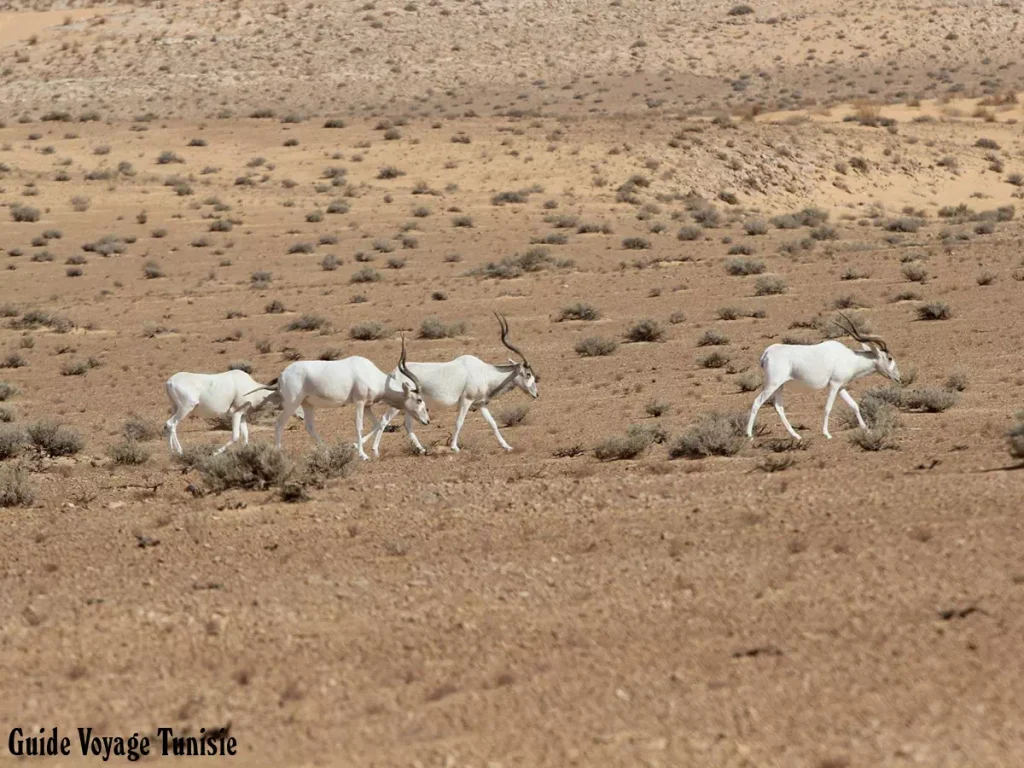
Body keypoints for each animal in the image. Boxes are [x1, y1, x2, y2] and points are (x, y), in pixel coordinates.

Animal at [165, 368, 301, 454]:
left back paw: (172, 452)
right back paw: (180, 452)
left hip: (175, 408)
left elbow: (245, 436)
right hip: (186, 408)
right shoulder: (236, 413)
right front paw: (215, 453)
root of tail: (169, 382)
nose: (302, 416)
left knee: (167, 424)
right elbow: (236, 436)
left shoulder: (243, 415)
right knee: (172, 424)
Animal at [249, 335, 430, 456]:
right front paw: (362, 454)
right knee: (279, 423)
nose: (427, 421)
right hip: (293, 403)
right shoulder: (359, 402)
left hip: (307, 404)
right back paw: (278, 452)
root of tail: (282, 375)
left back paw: (326, 450)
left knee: (309, 426)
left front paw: (360, 448)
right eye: (419, 399)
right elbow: (359, 426)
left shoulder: (368, 405)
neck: (370, 373)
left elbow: (377, 424)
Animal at [368, 313, 544, 456]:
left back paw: (422, 450)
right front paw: (454, 447)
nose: (536, 394)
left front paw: (507, 446)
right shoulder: (466, 401)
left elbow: (493, 423)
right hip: (398, 405)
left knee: (408, 424)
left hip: (412, 407)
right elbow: (459, 422)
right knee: (384, 420)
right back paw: (375, 451)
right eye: (528, 374)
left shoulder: (480, 404)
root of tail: (393, 373)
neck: (484, 371)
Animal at [745, 313, 905, 442]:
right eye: (890, 358)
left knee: (779, 407)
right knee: (757, 402)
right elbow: (828, 408)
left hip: (779, 386)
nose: (898, 378)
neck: (851, 358)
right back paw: (749, 435)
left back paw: (796, 436)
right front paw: (827, 434)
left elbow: (854, 405)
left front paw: (867, 429)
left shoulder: (841, 387)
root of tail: (766, 353)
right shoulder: (834, 385)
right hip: (772, 384)